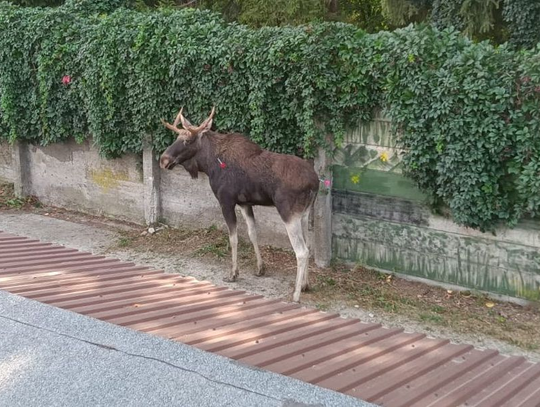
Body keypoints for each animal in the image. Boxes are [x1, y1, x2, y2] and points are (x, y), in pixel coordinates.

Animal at [160, 107, 320, 302]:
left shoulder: (226, 201)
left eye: (187, 140)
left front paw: (233, 273)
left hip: (288, 213)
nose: (163, 160)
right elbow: (252, 233)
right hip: (304, 214)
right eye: (176, 138)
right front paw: (260, 268)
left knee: (301, 251)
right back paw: (305, 285)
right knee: (308, 247)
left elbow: (233, 238)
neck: (209, 164)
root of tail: (315, 183)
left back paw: (296, 294)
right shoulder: (245, 203)